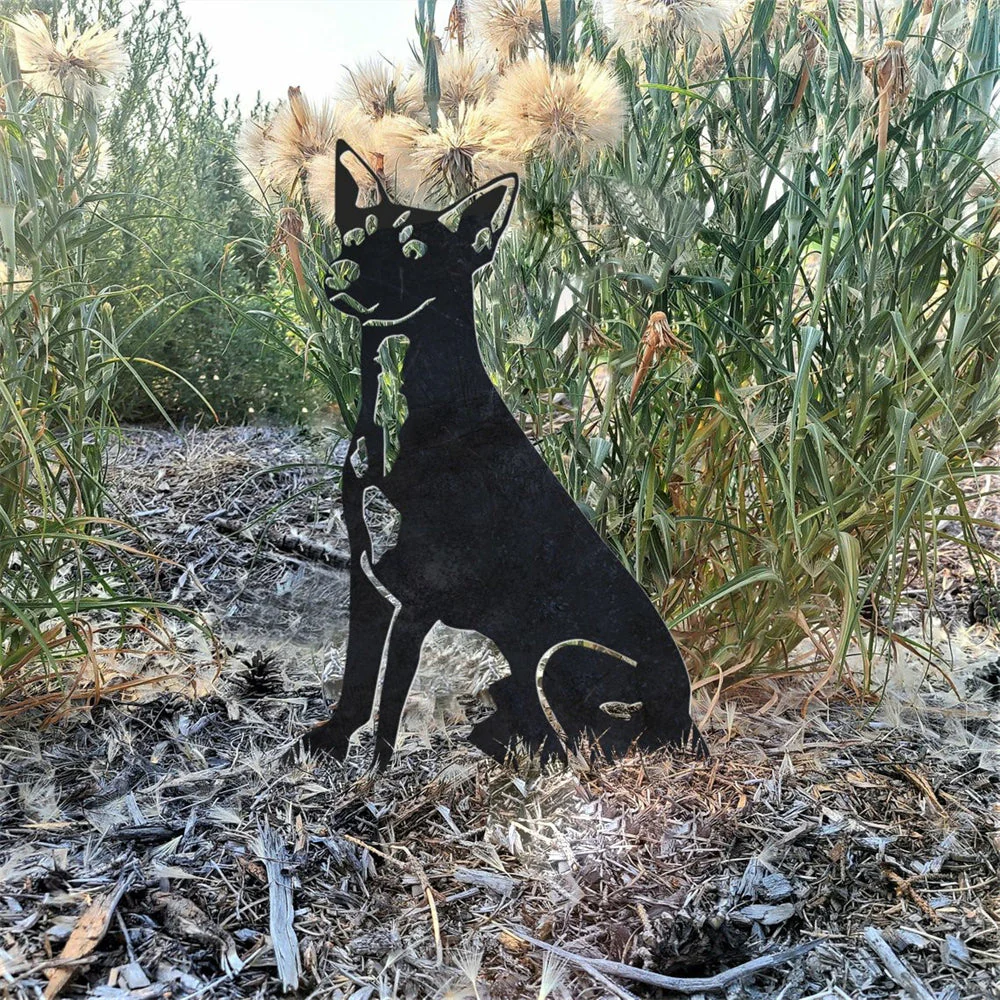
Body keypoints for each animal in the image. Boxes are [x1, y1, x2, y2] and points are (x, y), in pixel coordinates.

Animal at [303, 140, 702, 769]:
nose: (340, 273)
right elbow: (358, 681)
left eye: (415, 249)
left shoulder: (418, 599)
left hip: (561, 656)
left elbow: (390, 703)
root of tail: (690, 720)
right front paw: (335, 737)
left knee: (589, 744)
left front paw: (376, 771)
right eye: (357, 233)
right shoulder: (368, 579)